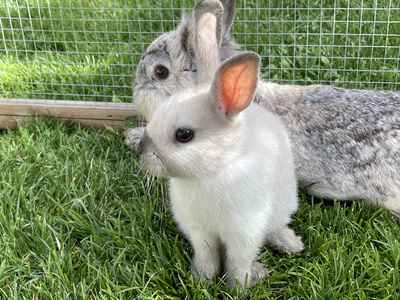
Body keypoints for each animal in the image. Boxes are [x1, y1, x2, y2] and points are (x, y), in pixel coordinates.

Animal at [138, 51, 304, 288]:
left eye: (184, 134)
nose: (140, 151)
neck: (212, 172)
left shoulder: (244, 233)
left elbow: (238, 262)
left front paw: (238, 288)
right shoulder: (200, 231)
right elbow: (207, 255)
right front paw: (202, 279)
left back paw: (290, 244)